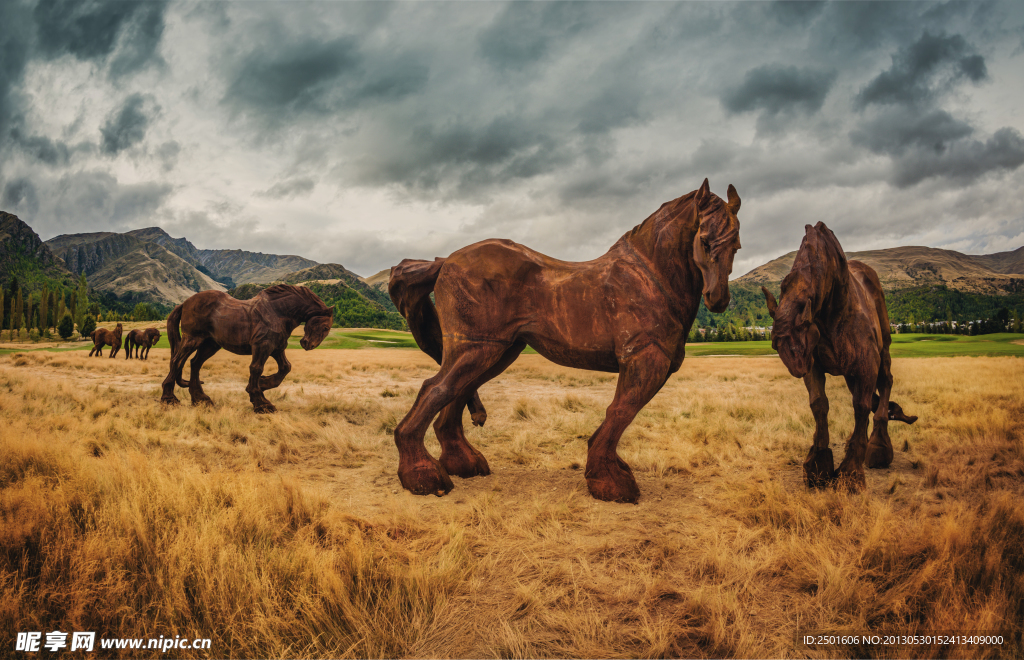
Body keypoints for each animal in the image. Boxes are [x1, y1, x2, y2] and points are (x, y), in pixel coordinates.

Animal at [159, 284, 333, 411]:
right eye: (325, 327)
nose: (308, 344)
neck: (278, 312)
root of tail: (185, 303)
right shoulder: (262, 346)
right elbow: (256, 368)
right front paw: (261, 402)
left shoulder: (276, 348)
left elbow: (285, 368)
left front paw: (263, 385)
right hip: (192, 339)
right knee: (177, 362)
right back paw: (169, 399)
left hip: (210, 344)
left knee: (195, 364)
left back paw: (201, 399)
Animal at [387, 178, 741, 501]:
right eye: (705, 241)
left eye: (736, 246)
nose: (718, 299)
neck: (650, 278)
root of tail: (444, 262)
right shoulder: (645, 359)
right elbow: (620, 412)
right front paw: (609, 481)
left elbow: (620, 414)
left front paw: (611, 471)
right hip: (477, 348)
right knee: (435, 390)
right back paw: (423, 476)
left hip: (496, 351)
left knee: (454, 396)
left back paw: (463, 463)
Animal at [761, 221, 921, 489]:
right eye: (777, 345)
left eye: (797, 342)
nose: (795, 366)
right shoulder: (815, 366)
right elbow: (819, 404)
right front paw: (818, 463)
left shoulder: (866, 365)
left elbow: (861, 406)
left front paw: (851, 472)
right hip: (848, 372)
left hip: (883, 350)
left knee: (885, 383)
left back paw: (879, 444)